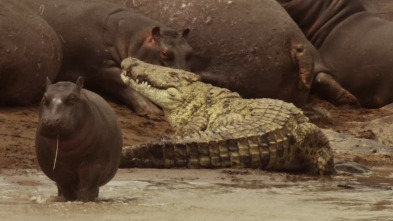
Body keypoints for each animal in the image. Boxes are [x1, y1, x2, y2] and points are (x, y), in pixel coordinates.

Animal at [18, 0, 191, 117]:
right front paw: (153, 112)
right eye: (164, 53)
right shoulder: (102, 67)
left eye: (190, 52)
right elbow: (124, 84)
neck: (134, 38)